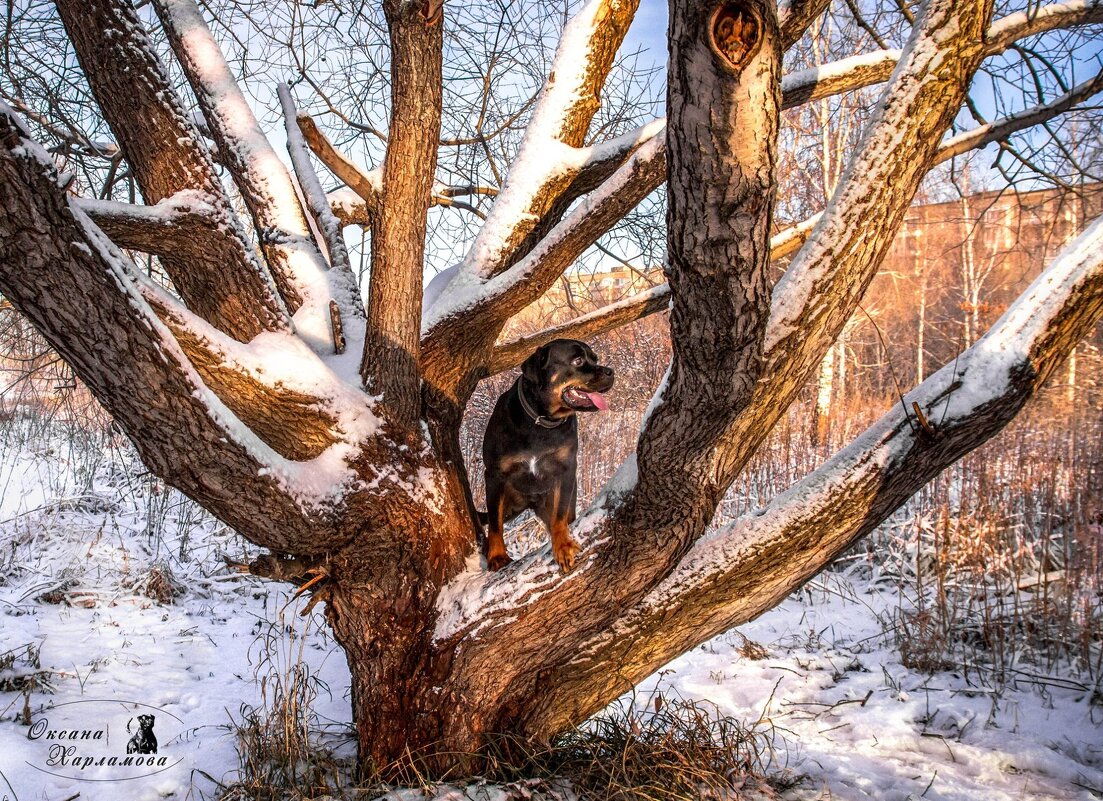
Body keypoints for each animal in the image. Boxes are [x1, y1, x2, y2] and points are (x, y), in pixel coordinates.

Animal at [483, 337, 617, 569]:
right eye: (578, 360)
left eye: (595, 358)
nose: (610, 371)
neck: (540, 422)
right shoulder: (494, 475)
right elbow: (494, 523)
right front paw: (498, 555)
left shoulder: (565, 471)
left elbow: (560, 516)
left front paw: (562, 545)